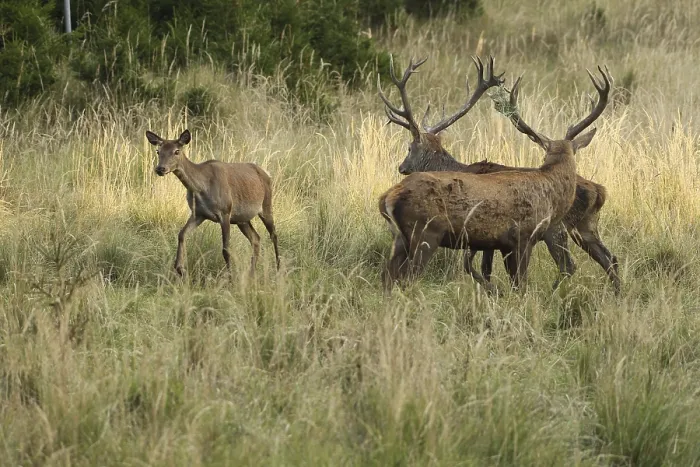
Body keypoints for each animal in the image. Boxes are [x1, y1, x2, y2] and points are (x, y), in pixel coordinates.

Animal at [145, 129, 280, 277]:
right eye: (158, 151)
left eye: (177, 151)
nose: (160, 169)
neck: (201, 189)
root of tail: (267, 174)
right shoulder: (198, 213)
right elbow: (181, 234)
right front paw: (180, 268)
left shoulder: (225, 211)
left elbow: (226, 249)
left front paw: (230, 278)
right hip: (242, 219)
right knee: (256, 239)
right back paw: (251, 274)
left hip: (266, 204)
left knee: (273, 235)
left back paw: (279, 269)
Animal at [379, 56, 619, 294]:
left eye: (409, 148)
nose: (401, 167)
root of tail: (599, 190)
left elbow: (487, 269)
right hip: (585, 227)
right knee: (608, 258)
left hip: (556, 229)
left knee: (570, 264)